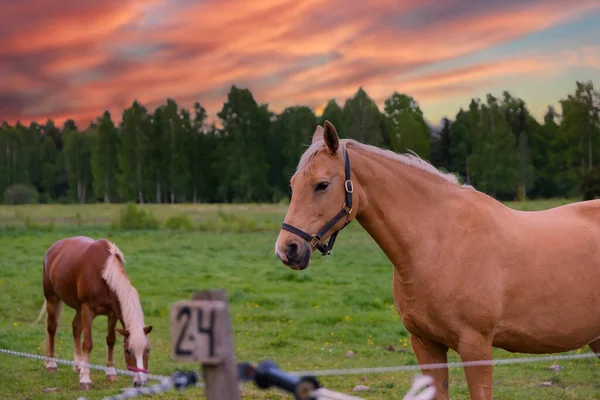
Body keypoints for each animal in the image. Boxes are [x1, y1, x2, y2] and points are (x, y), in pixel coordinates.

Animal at [35, 236, 152, 390]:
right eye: (128, 351)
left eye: (147, 350)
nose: (140, 383)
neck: (103, 274)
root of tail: (54, 248)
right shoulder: (87, 310)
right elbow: (88, 344)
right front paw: (85, 379)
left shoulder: (113, 313)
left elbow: (110, 340)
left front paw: (110, 372)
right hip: (52, 299)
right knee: (52, 329)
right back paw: (52, 364)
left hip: (78, 308)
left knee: (76, 328)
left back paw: (77, 365)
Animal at [276, 122, 600, 400]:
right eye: (293, 183)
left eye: (321, 185)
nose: (287, 249)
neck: (438, 242)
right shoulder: (426, 345)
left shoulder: (476, 347)